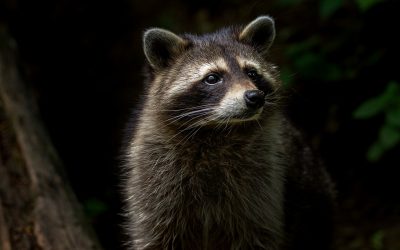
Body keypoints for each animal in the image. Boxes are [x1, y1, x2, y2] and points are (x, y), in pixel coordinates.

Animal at [123, 16, 336, 249]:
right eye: (212, 78)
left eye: (252, 73)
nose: (255, 97)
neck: (218, 130)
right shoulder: (155, 179)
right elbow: (155, 234)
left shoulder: (263, 182)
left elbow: (257, 233)